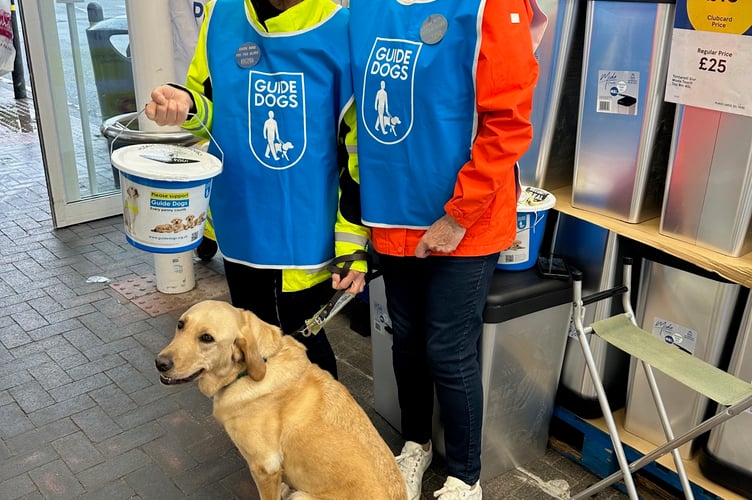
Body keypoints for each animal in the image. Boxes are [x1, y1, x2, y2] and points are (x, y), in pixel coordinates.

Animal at [155, 300, 408, 500]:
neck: (258, 365)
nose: (160, 363)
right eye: (181, 325)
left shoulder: (264, 467)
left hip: (302, 497)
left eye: (207, 338)